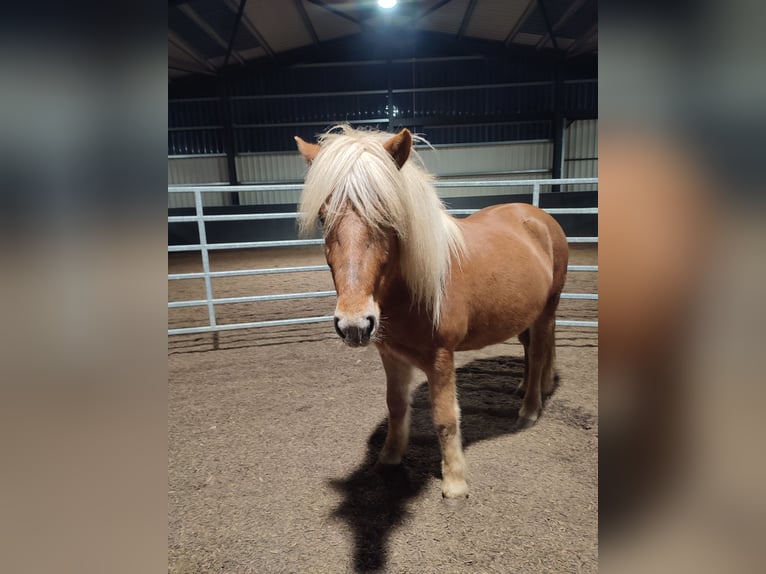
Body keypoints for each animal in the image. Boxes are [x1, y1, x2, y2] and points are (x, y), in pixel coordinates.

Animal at [295, 125, 569, 499]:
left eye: (388, 216)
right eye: (324, 217)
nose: (353, 325)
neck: (413, 289)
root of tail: (539, 217)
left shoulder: (441, 358)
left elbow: (445, 418)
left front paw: (454, 483)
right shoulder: (391, 354)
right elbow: (396, 405)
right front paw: (389, 457)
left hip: (547, 309)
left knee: (540, 352)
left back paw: (528, 410)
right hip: (526, 313)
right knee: (531, 350)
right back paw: (528, 388)